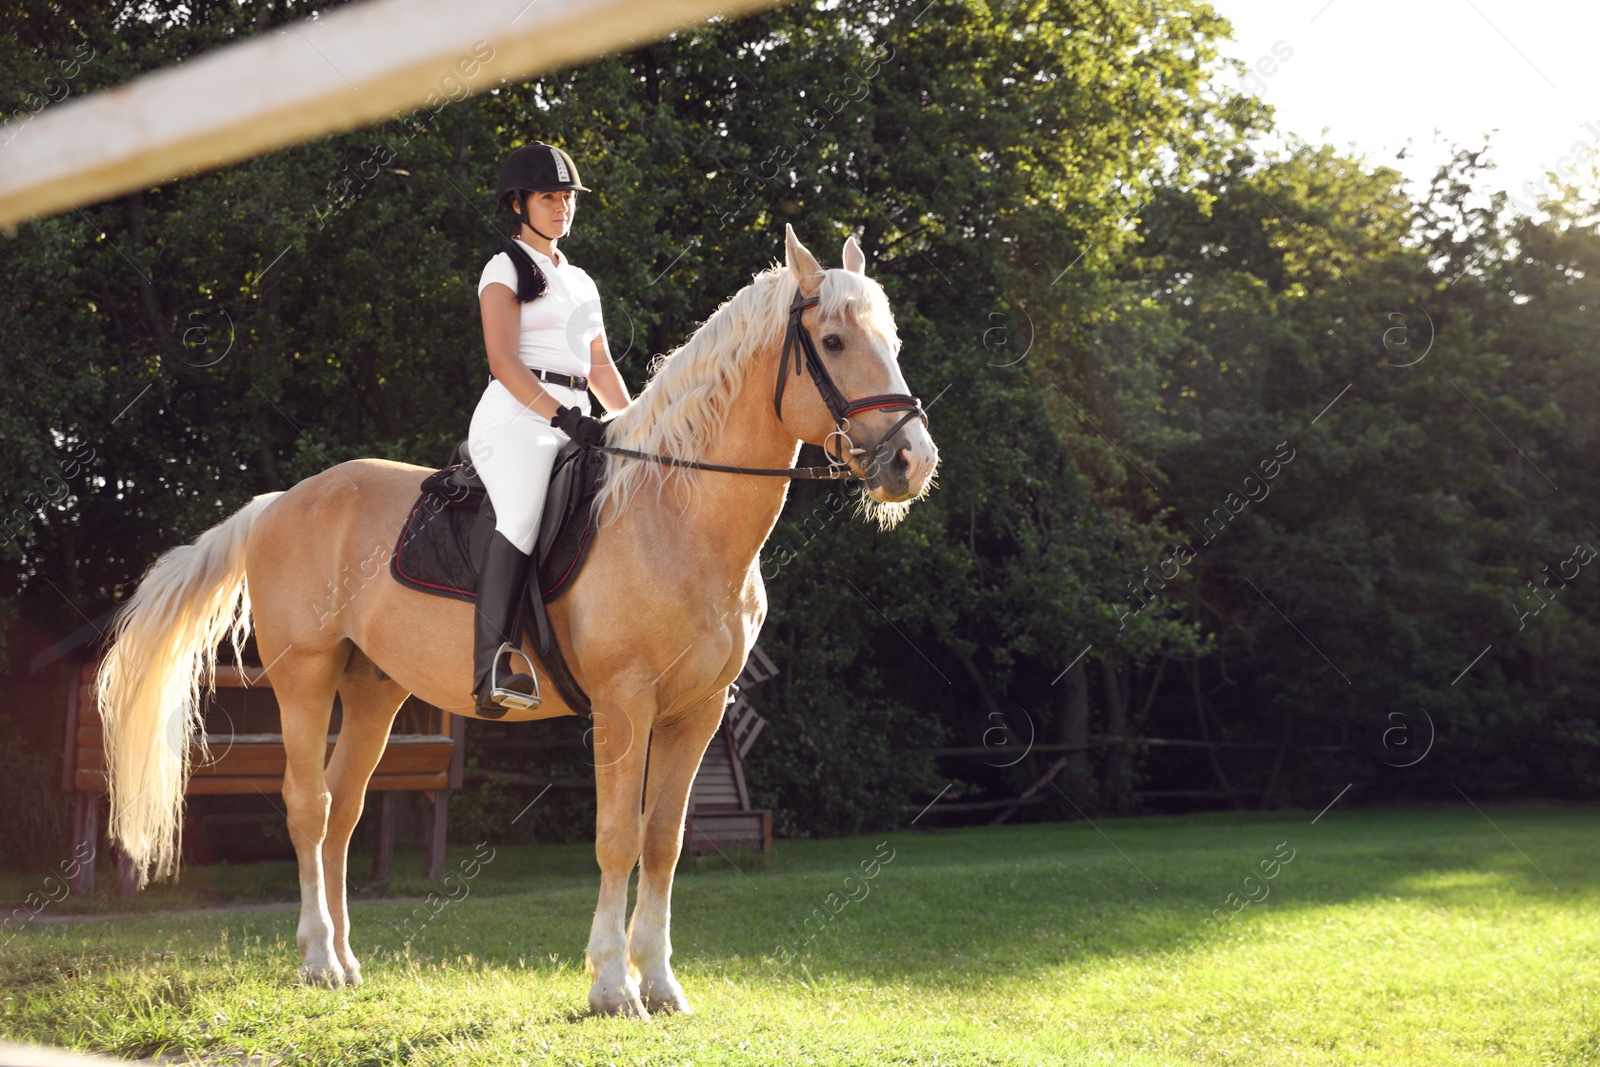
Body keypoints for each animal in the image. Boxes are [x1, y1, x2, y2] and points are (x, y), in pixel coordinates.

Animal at [96, 225, 934, 1017]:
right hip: (305, 679)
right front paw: (612, 986)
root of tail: (279, 503)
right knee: (310, 807)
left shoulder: (697, 713)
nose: (912, 463)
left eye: (891, 341)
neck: (675, 511)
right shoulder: (624, 705)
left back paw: (345, 958)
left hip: (373, 691)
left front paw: (662, 983)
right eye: (834, 341)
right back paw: (316, 961)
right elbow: (617, 838)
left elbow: (663, 841)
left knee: (343, 811)